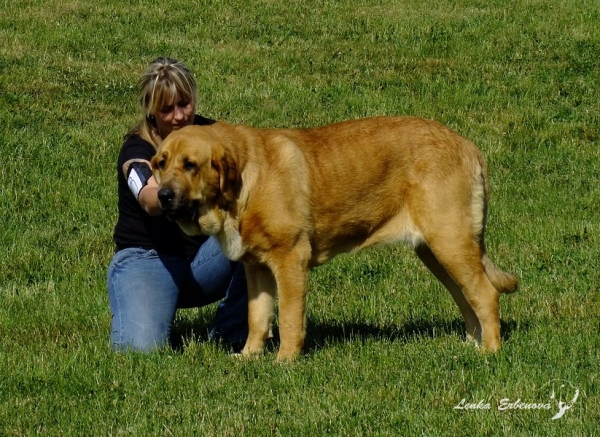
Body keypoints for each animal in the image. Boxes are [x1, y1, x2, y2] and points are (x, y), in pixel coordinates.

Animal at [151, 115, 520, 358]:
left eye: (190, 164)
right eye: (160, 163)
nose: (163, 196)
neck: (244, 185)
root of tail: (468, 146)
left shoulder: (290, 260)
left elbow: (288, 318)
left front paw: (285, 361)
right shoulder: (255, 268)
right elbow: (258, 317)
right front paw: (248, 358)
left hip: (451, 242)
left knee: (486, 295)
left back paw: (490, 352)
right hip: (436, 252)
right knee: (467, 298)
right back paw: (471, 346)